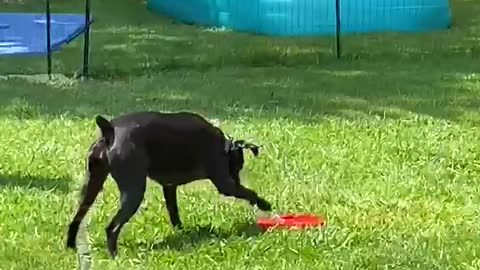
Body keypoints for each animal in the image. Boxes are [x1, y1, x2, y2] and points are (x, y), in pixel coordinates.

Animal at [65, 111, 272, 258]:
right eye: (237, 166)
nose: (237, 179)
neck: (224, 146)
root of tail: (110, 130)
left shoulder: (169, 187)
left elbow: (174, 212)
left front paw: (183, 231)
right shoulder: (225, 184)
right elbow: (249, 192)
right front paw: (264, 204)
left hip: (90, 186)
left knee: (75, 218)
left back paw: (70, 246)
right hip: (133, 191)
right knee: (112, 227)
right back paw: (115, 256)